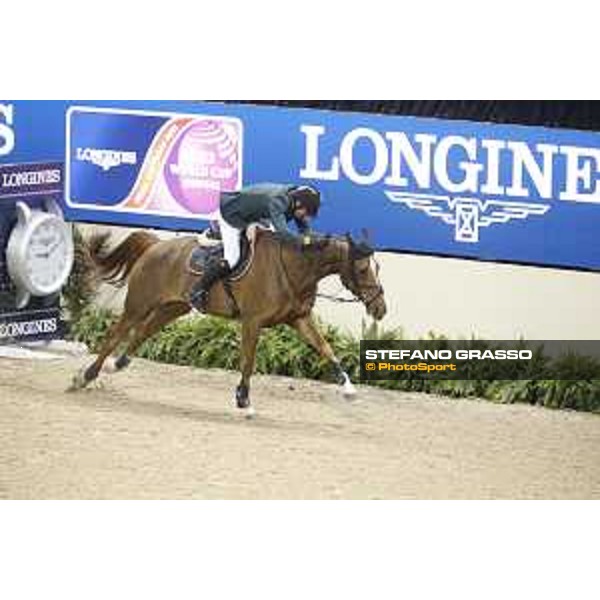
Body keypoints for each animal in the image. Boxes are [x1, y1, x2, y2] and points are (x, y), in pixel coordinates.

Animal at [70, 227, 386, 414]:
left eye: (378, 267)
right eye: (362, 269)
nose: (380, 308)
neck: (292, 268)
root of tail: (156, 246)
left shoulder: (299, 319)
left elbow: (325, 349)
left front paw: (348, 388)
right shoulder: (252, 322)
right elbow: (248, 362)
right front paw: (243, 401)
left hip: (173, 307)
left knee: (143, 332)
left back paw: (115, 366)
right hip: (139, 303)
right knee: (115, 334)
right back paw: (84, 377)